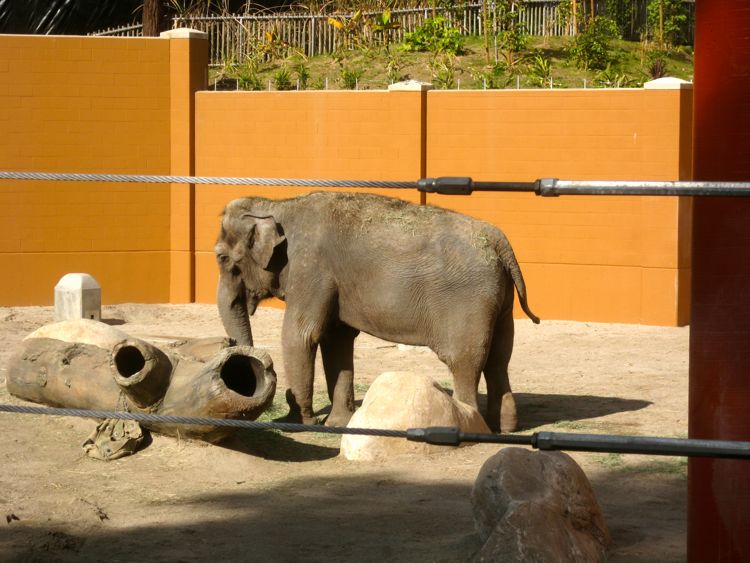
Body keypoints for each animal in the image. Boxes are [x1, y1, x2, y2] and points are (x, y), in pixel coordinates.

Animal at [213, 192, 540, 434]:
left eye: (221, 257)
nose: (246, 374)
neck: (278, 205)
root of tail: (499, 242)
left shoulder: (310, 270)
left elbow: (301, 335)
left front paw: (297, 423)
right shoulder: (333, 283)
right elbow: (336, 340)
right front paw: (338, 424)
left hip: (468, 300)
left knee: (465, 361)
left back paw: (471, 427)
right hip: (501, 301)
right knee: (498, 360)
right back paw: (505, 429)